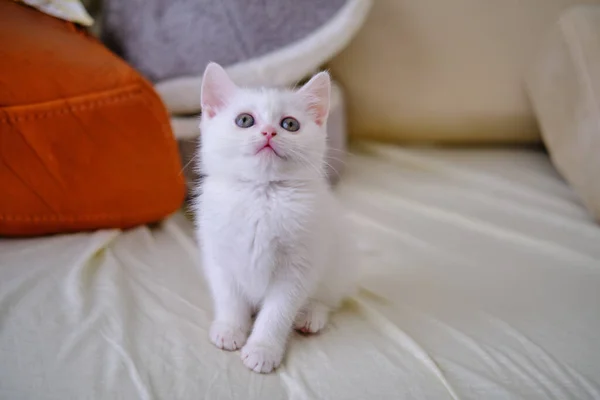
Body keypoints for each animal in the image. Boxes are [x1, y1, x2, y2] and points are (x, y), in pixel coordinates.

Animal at [195, 63, 356, 376]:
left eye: (290, 125)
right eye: (244, 120)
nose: (269, 132)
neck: (262, 194)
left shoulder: (298, 266)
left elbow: (277, 313)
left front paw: (263, 349)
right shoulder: (219, 255)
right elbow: (229, 297)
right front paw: (230, 329)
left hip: (338, 259)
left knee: (329, 297)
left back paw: (311, 315)